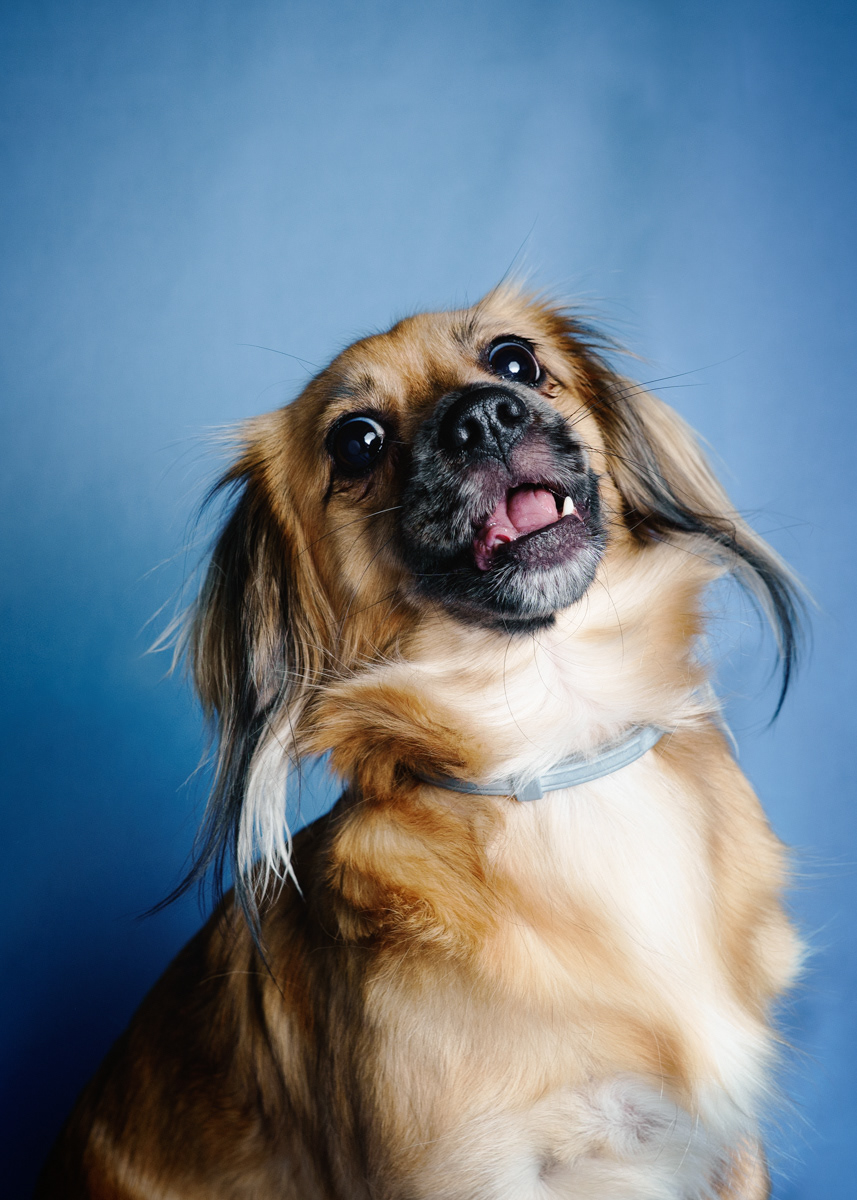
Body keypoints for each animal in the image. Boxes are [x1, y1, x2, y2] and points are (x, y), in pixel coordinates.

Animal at [38, 288, 803, 1199]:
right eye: (356, 440)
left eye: (514, 359)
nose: (483, 417)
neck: (556, 753)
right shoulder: (462, 1168)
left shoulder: (725, 1153)